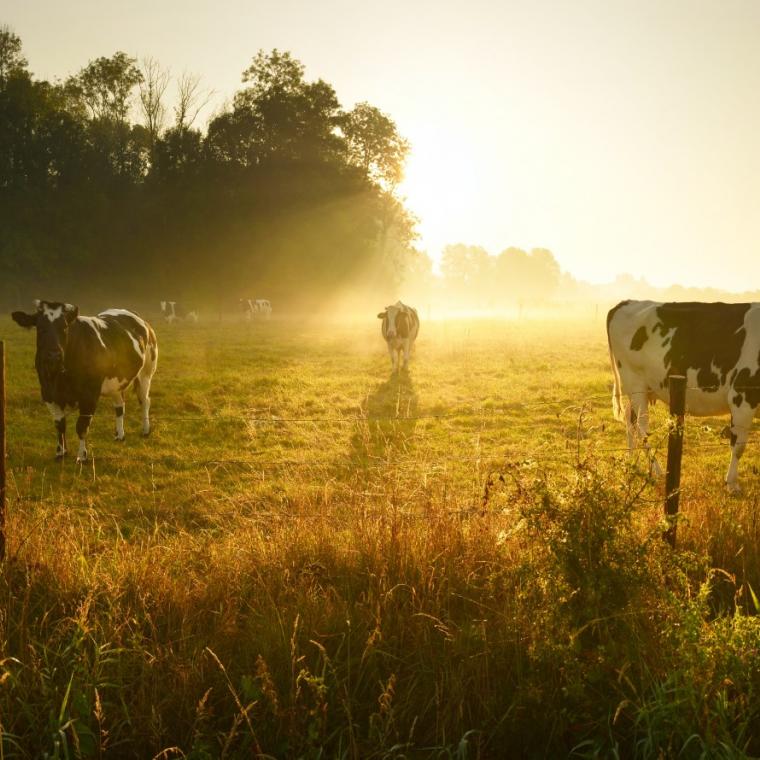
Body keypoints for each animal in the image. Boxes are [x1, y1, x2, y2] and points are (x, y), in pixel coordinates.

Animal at [12, 300, 159, 460]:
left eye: (64, 327)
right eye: (40, 328)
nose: (53, 355)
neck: (60, 376)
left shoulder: (89, 395)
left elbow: (82, 426)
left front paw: (82, 456)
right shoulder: (48, 394)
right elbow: (59, 424)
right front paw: (60, 452)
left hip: (146, 372)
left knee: (145, 401)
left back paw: (145, 430)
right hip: (116, 381)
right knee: (120, 405)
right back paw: (120, 435)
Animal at [608, 298, 760, 492]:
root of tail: (627, 302)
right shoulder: (742, 396)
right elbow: (739, 445)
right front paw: (732, 483)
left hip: (643, 388)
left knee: (630, 420)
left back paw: (631, 462)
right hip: (634, 381)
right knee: (641, 425)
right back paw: (657, 470)